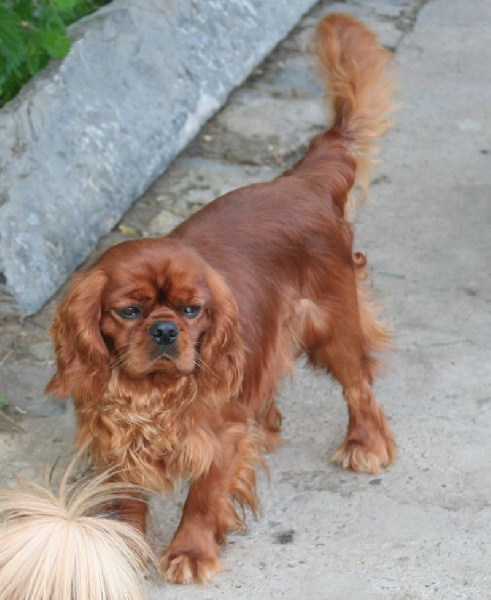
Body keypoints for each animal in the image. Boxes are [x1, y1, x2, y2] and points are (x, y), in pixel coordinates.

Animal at [44, 13, 397, 585]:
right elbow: (126, 499)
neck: (154, 396)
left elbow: (204, 496)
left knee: (359, 385)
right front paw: (124, 548)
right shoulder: (114, 436)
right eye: (130, 311)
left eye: (192, 310)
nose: (166, 330)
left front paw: (191, 552)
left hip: (333, 325)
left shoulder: (219, 437)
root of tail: (301, 181)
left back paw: (366, 444)